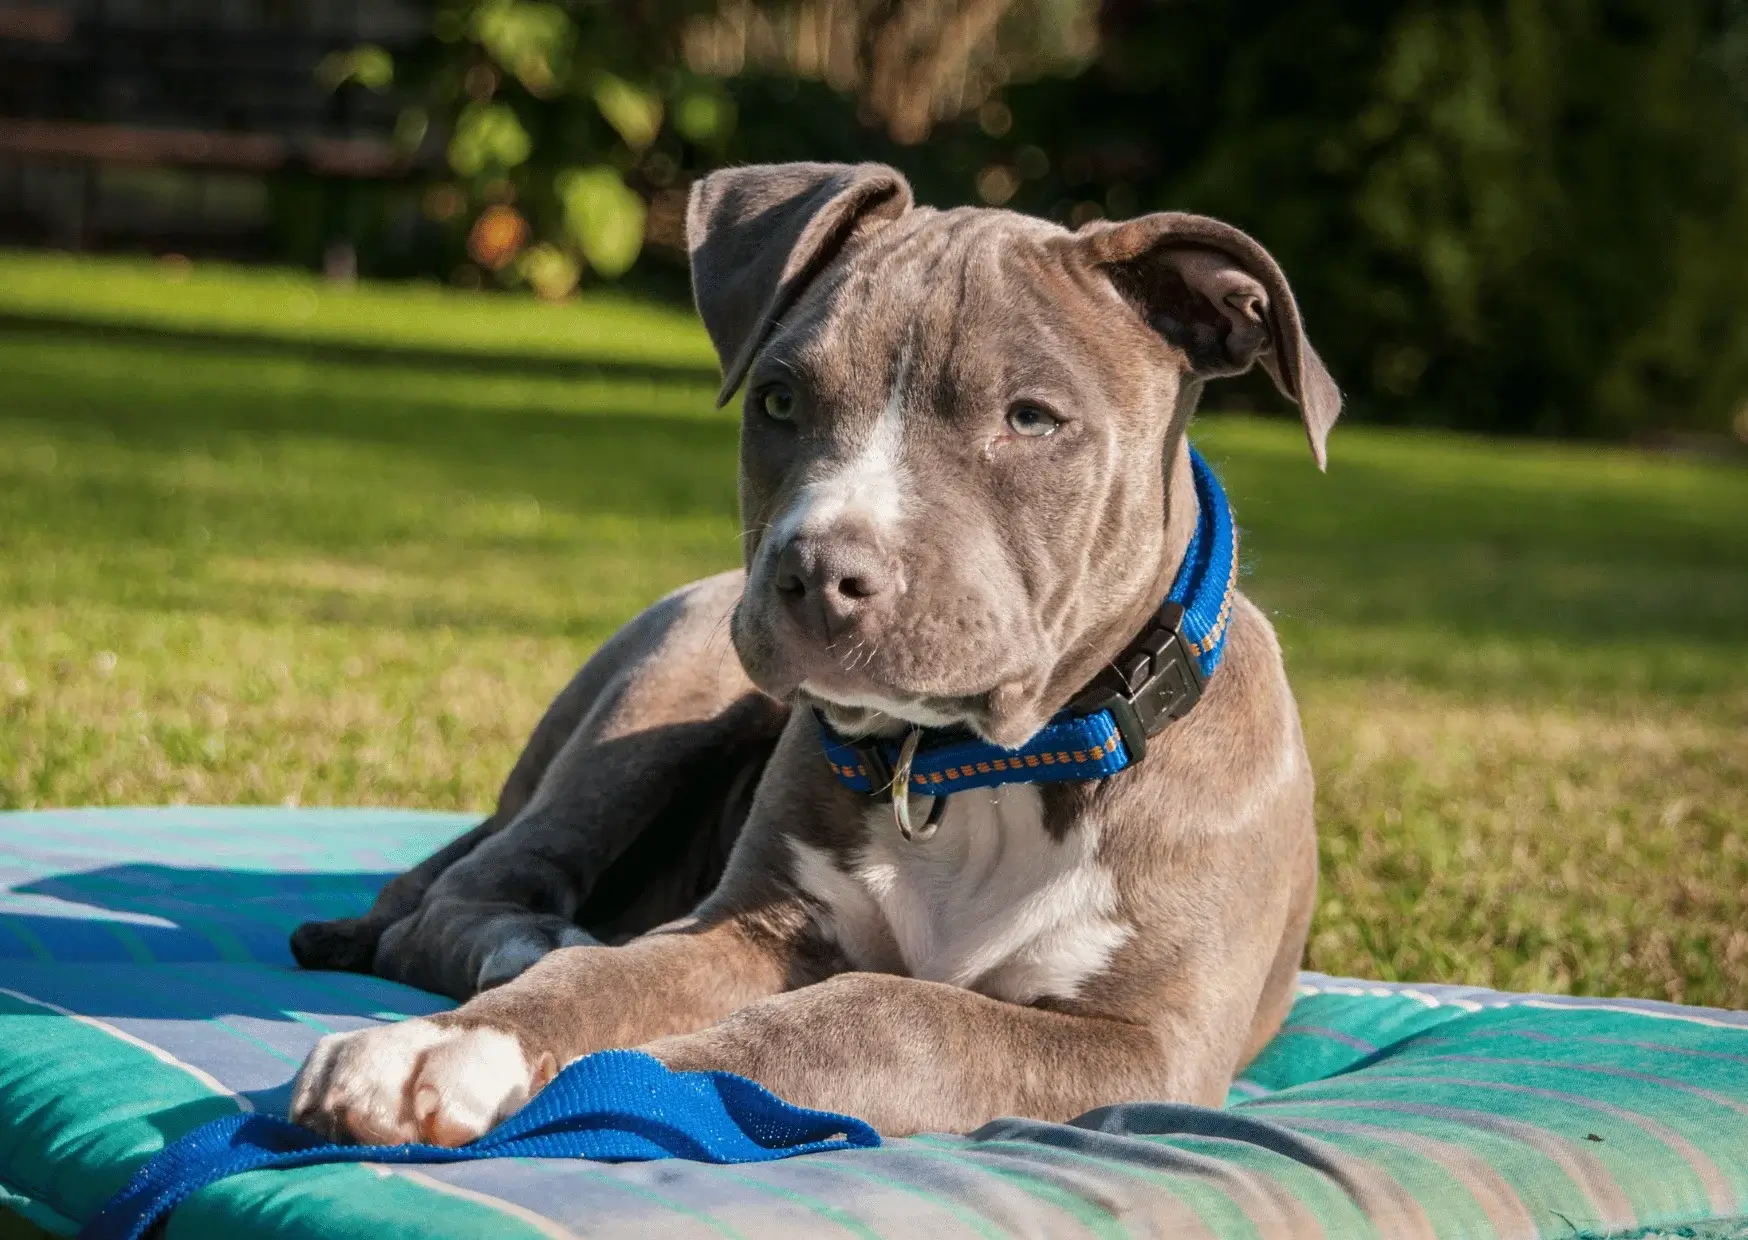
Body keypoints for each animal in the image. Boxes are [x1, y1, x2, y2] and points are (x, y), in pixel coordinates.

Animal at [293, 161, 1342, 1140]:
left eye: (1032, 417)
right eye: (778, 400)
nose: (819, 570)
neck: (971, 770)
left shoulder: (1148, 1044)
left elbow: (884, 1017)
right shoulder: (751, 924)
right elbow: (608, 981)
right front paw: (447, 1046)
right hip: (659, 700)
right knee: (456, 899)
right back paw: (524, 945)